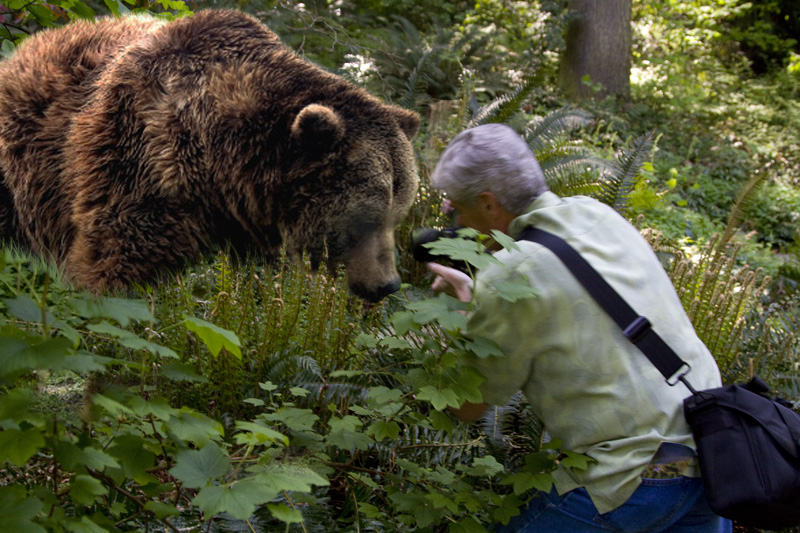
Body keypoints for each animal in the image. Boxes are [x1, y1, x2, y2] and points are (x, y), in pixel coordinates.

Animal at [0, 10, 420, 302]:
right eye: (367, 217)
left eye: (398, 213)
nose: (388, 285)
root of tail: (29, 44)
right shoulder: (138, 157)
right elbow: (116, 257)